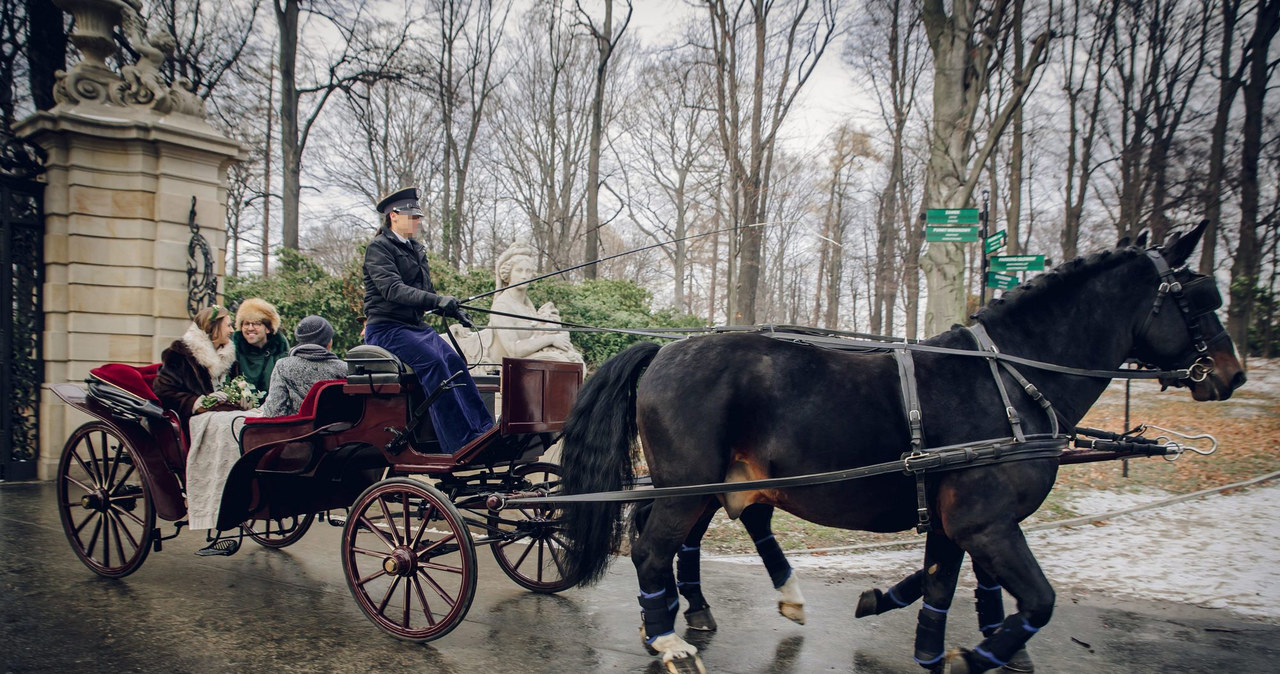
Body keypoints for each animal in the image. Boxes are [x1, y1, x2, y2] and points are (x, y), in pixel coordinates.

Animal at [558, 226, 1239, 674]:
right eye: (1200, 296)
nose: (1232, 375)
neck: (1007, 380)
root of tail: (664, 350)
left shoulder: (957, 522)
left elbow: (941, 587)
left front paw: (929, 641)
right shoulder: (986, 522)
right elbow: (1038, 601)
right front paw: (976, 654)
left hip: (709, 483)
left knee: (680, 535)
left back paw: (691, 614)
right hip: (688, 484)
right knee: (653, 547)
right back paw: (667, 638)